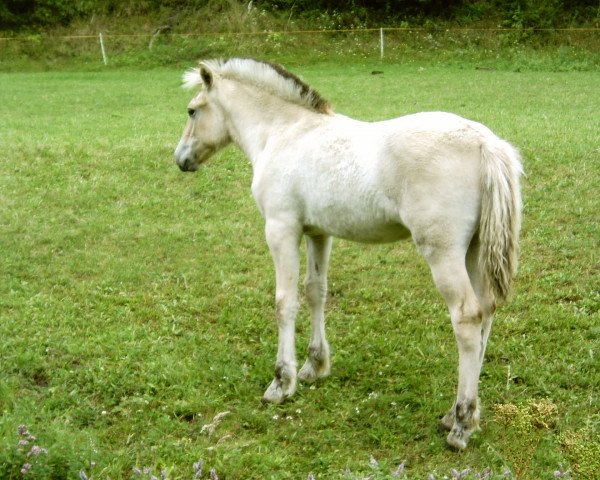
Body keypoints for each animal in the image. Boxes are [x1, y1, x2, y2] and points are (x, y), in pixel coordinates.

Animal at [173, 57, 520, 450]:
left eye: (192, 110)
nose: (181, 158)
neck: (284, 132)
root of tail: (486, 143)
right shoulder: (318, 232)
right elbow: (315, 292)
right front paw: (314, 367)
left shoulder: (280, 228)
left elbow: (284, 302)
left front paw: (282, 382)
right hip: (474, 250)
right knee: (486, 313)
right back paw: (458, 414)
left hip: (443, 253)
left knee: (467, 318)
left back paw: (461, 424)